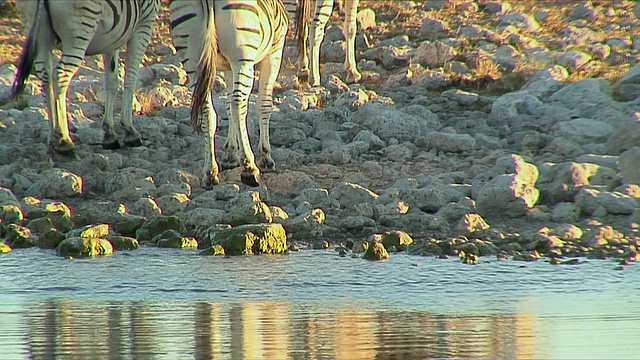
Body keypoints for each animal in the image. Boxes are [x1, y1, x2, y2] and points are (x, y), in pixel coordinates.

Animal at [11, 0, 160, 155]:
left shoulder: (113, 37)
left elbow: (112, 81)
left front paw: (109, 134)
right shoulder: (145, 23)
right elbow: (130, 78)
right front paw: (130, 131)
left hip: (38, 34)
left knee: (46, 78)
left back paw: (52, 138)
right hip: (79, 31)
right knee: (60, 76)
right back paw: (64, 140)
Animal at [170, 0, 290, 186]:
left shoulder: (227, 67)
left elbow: (227, 108)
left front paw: (231, 153)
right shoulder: (274, 51)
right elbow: (264, 105)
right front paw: (266, 157)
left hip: (193, 59)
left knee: (208, 110)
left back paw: (210, 172)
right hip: (242, 57)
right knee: (238, 104)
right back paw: (250, 168)